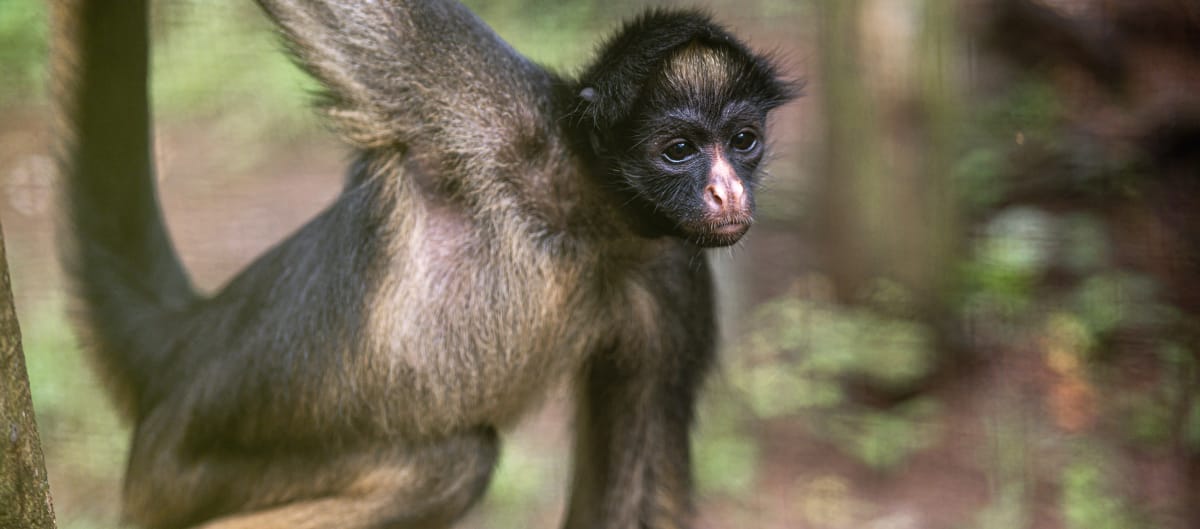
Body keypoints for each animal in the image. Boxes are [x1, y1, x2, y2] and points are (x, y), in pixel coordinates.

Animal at [51, 1, 792, 527]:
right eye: (680, 149)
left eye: (743, 141)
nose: (727, 191)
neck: (581, 210)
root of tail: (188, 341)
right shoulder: (487, 108)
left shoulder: (670, 272)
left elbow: (631, 500)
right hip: (179, 474)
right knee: (457, 462)